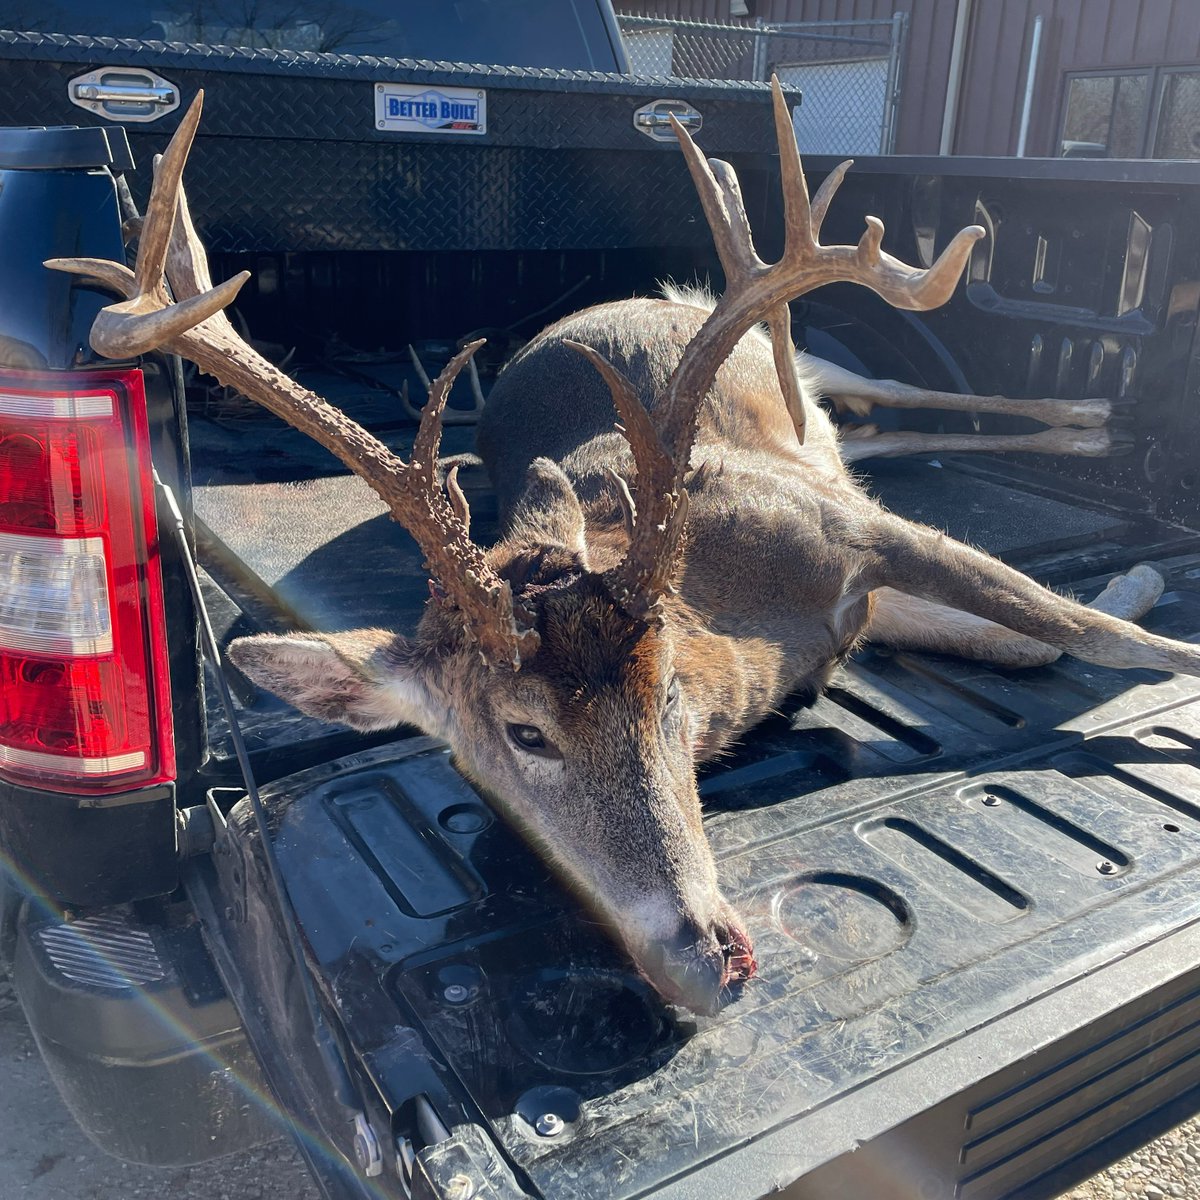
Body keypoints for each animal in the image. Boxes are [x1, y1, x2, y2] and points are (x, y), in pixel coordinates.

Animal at [49, 85, 1200, 1017]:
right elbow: (1037, 641)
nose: (706, 963)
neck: (752, 632)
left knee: (901, 391)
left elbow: (1077, 627)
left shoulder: (859, 533)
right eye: (511, 740)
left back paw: (1092, 414)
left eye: (669, 696)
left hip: (813, 364)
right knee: (885, 433)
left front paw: (1160, 627)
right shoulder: (863, 596)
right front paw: (1141, 580)